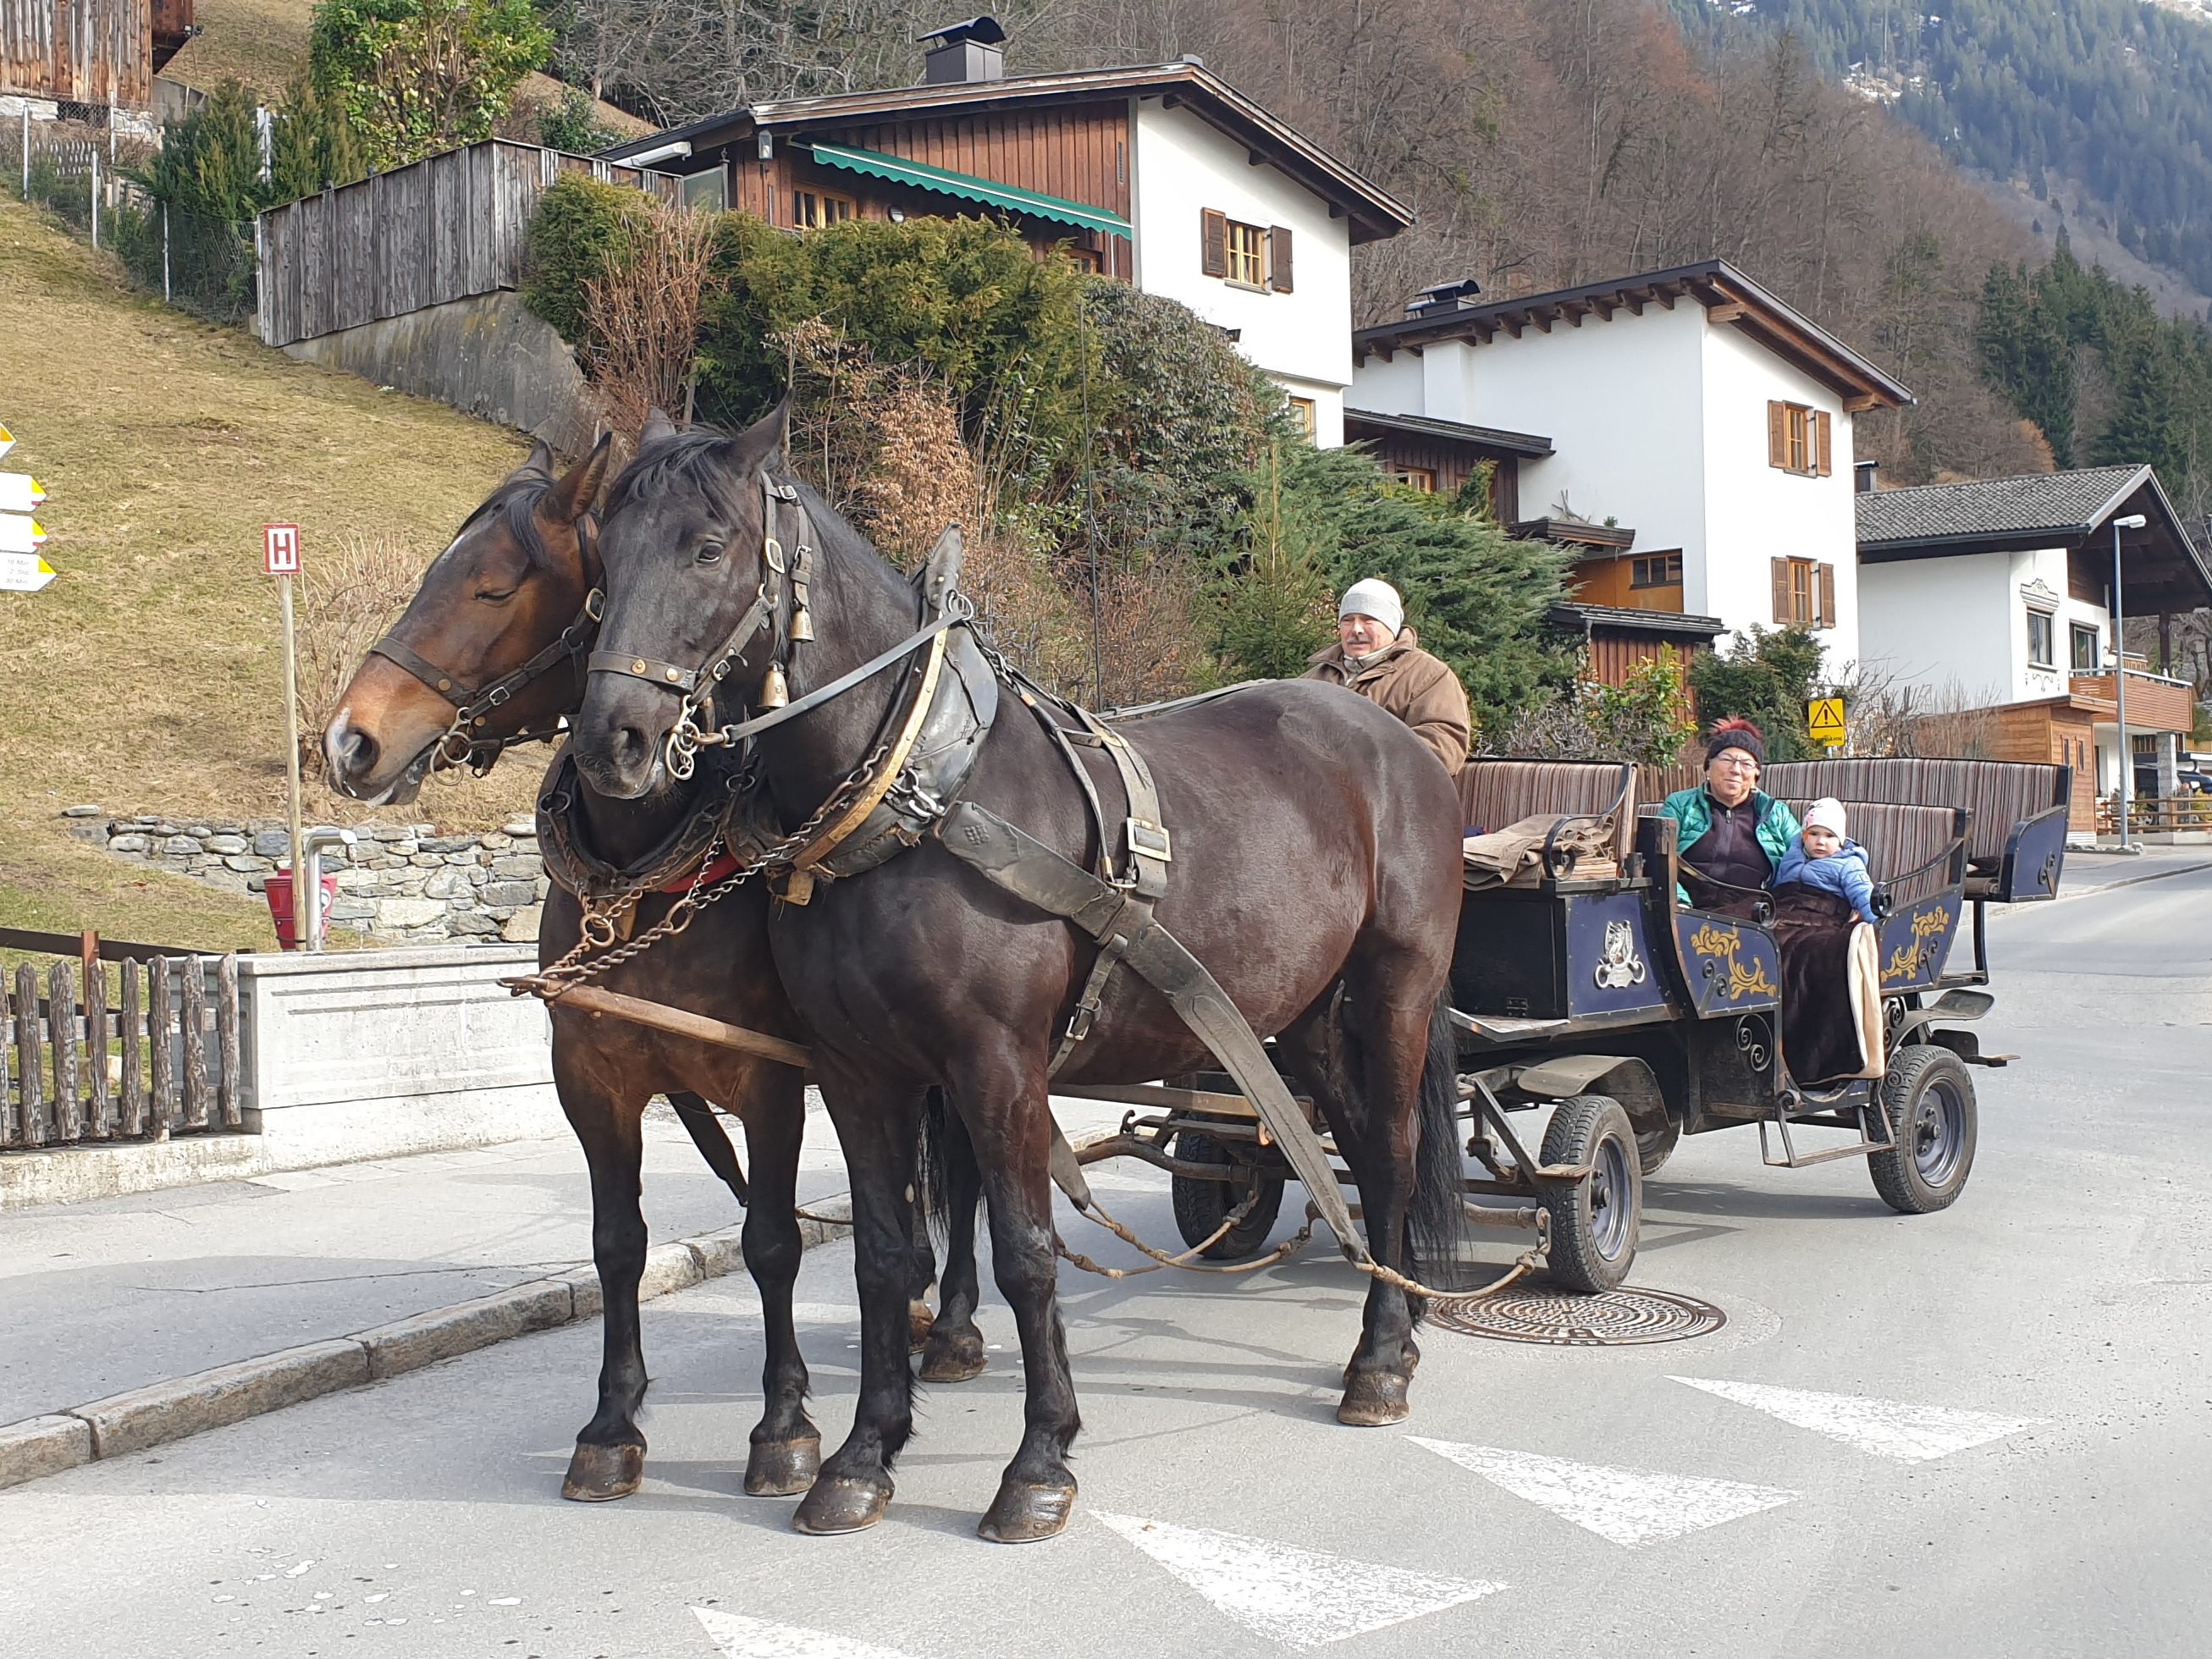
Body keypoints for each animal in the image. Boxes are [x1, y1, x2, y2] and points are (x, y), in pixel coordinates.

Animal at [323, 438, 990, 1504]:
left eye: (494, 586)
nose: (350, 739)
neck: (642, 870)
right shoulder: (596, 1080)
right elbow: (618, 1244)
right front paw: (611, 1423)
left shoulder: (768, 1080)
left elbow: (772, 1240)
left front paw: (784, 1423)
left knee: (961, 1173)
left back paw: (958, 1321)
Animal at [571, 409, 1469, 1557]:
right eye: (604, 553)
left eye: (708, 546)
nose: (613, 741)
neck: (921, 793)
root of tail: (1394, 741)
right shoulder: (857, 1073)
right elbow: (881, 1257)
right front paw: (862, 1457)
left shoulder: (997, 1065)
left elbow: (1027, 1253)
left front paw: (1038, 1462)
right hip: (1295, 1013)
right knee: (1336, 1141)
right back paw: (1389, 1314)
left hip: (1396, 989)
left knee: (1392, 1151)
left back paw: (1381, 1356)